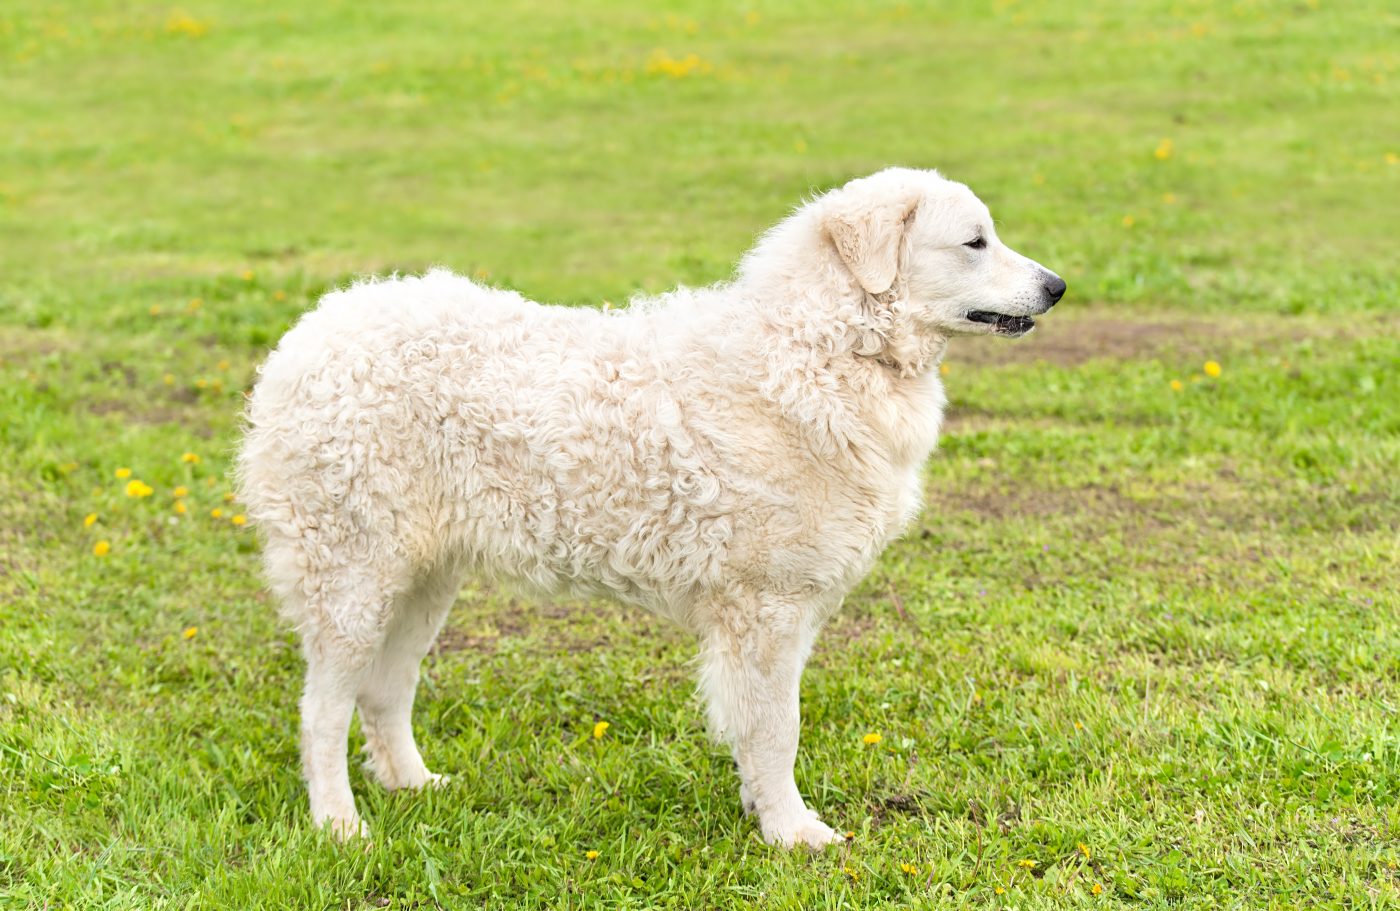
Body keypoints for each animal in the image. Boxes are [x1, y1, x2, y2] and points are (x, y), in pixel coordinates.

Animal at [240, 167, 1064, 850]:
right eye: (974, 242)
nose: (1057, 286)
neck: (824, 348)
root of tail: (312, 333)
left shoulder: (787, 610)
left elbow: (761, 728)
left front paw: (764, 813)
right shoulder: (765, 609)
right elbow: (778, 729)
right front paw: (793, 833)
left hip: (422, 580)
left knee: (384, 692)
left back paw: (415, 785)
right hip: (352, 578)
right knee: (322, 711)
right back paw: (339, 824)